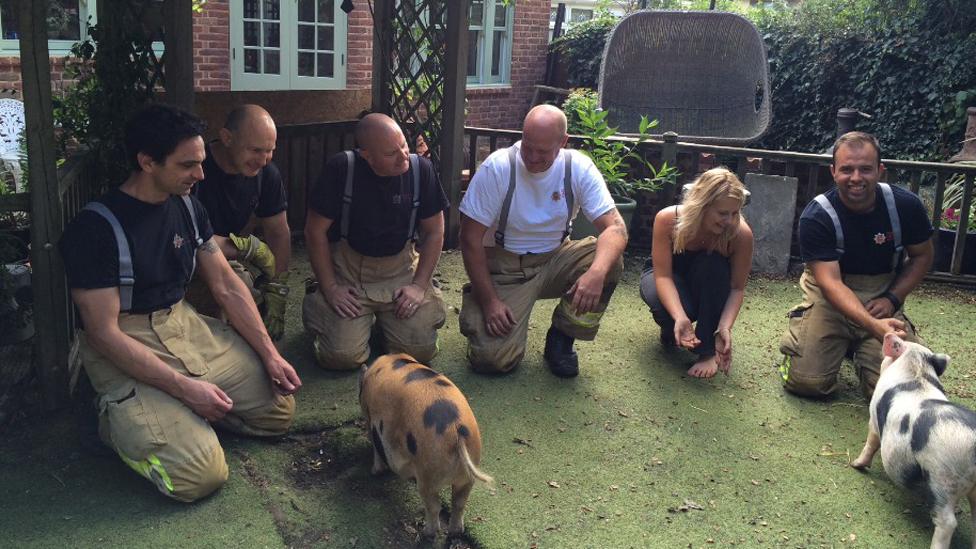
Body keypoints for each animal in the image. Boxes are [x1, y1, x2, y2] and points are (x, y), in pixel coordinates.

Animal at [358, 352, 492, 536]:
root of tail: (456, 431)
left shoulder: (369, 416)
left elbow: (375, 445)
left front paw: (375, 472)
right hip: (470, 468)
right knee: (459, 503)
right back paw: (455, 532)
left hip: (428, 471)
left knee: (434, 506)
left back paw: (426, 533)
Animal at [848, 330, 976, 548]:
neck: (917, 370)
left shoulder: (874, 418)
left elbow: (871, 442)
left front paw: (855, 465)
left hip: (942, 479)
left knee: (948, 522)